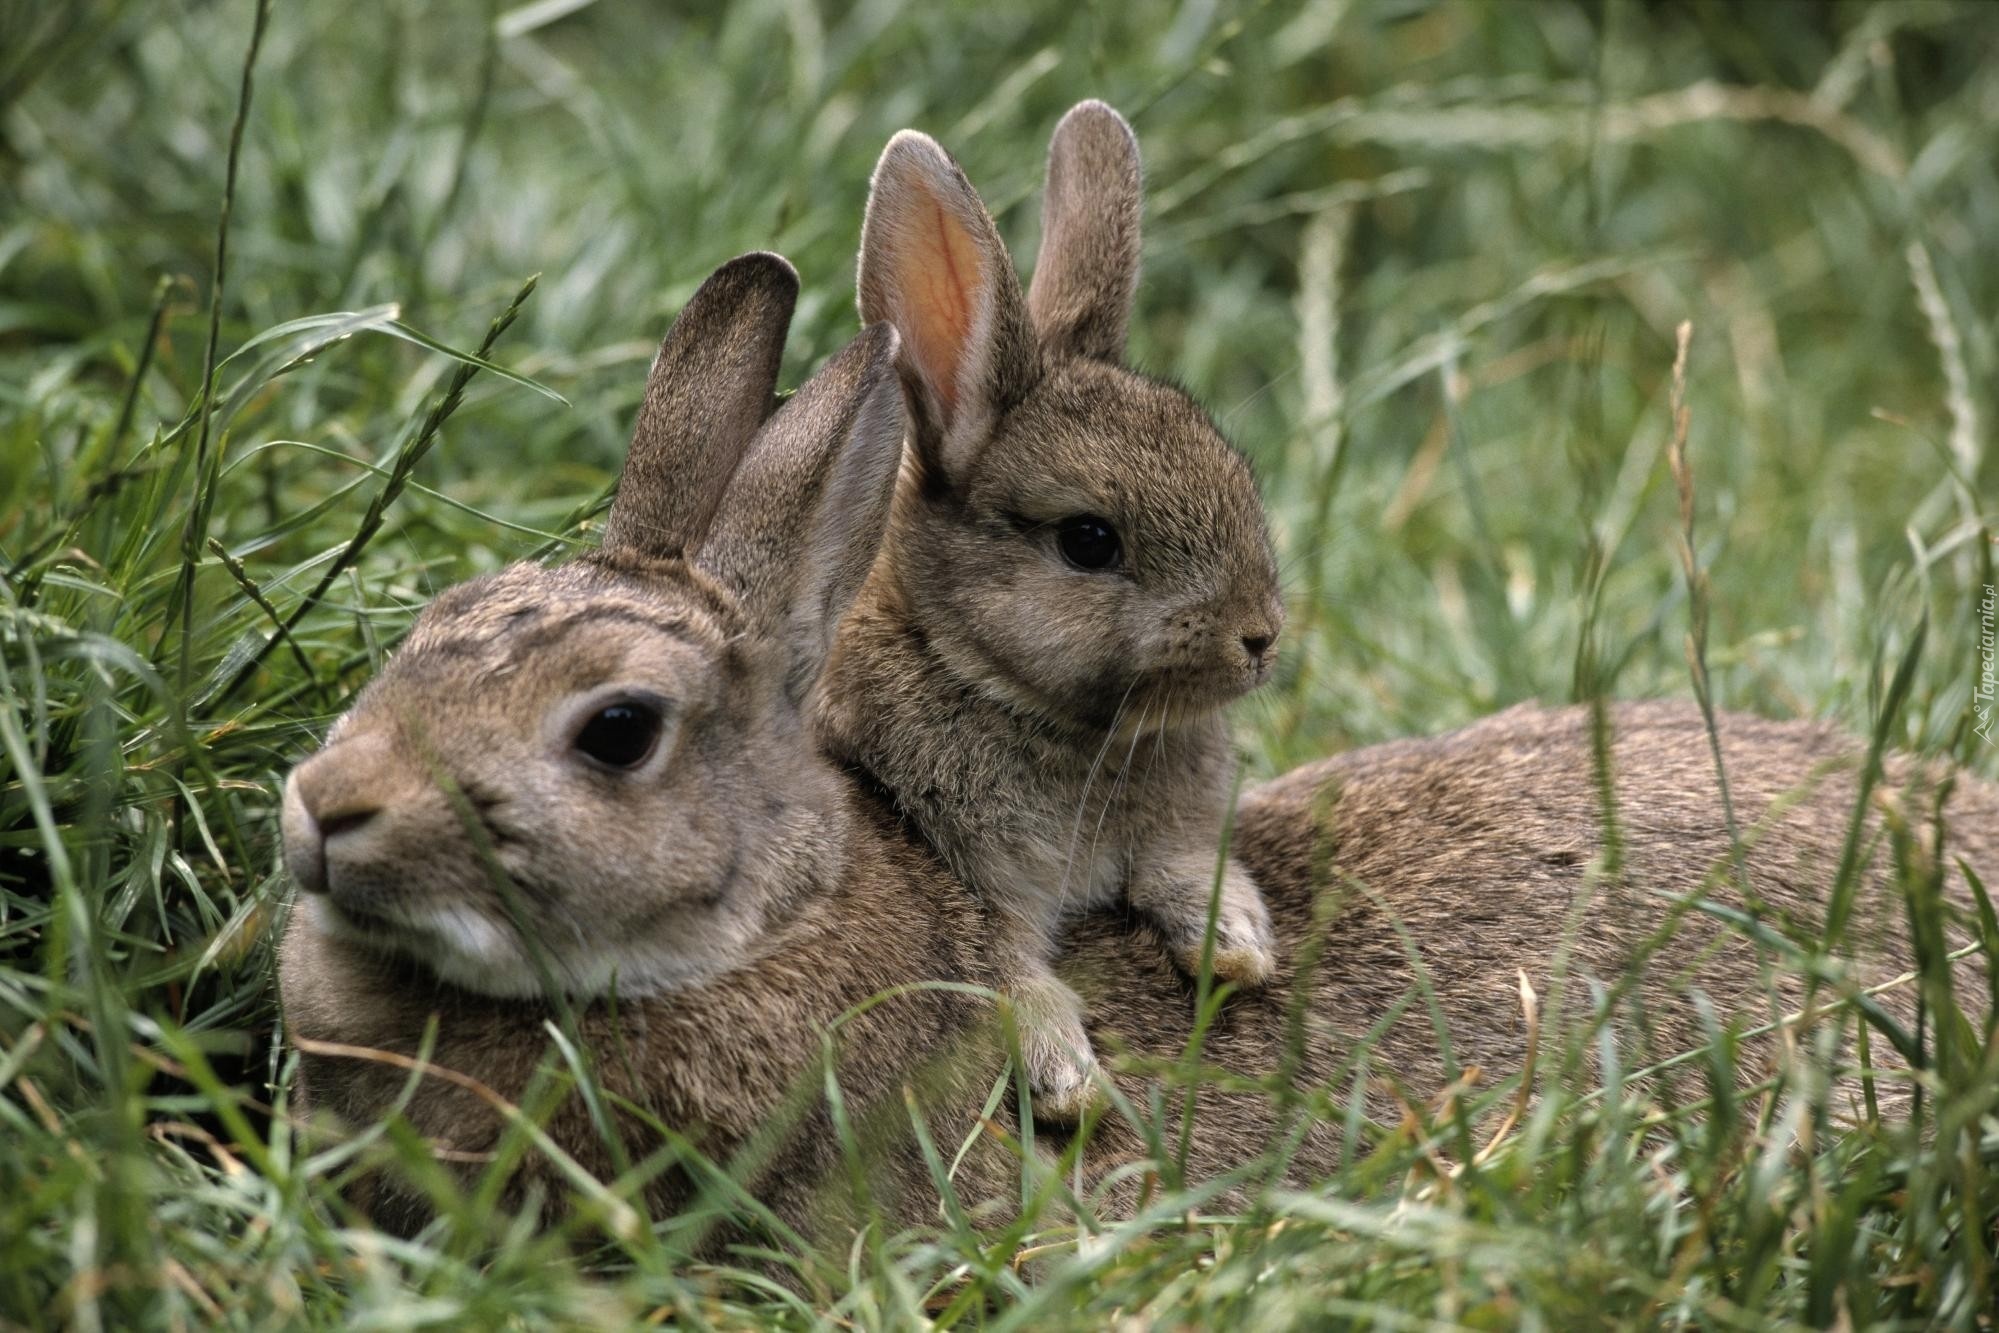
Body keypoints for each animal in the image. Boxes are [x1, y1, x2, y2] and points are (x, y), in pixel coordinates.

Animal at [815, 101, 1271, 1119]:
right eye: (1089, 541)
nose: (1259, 636)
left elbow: (1183, 865)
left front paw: (1236, 944)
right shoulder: (966, 876)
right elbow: (1003, 965)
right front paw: (1068, 1079)